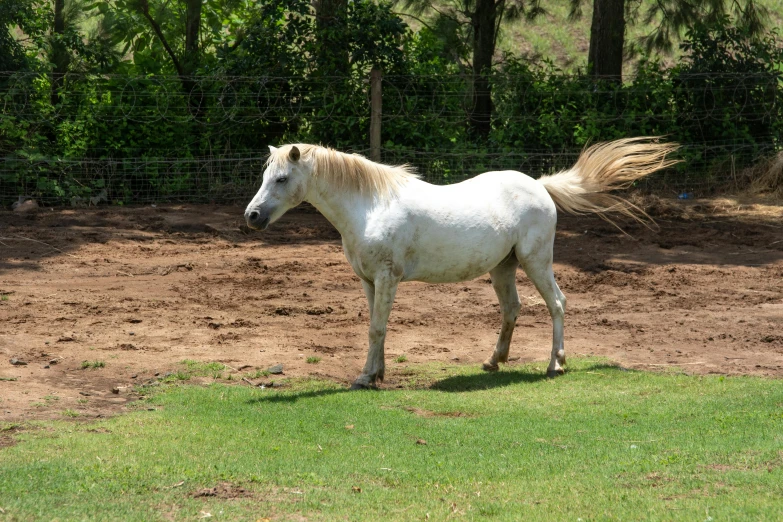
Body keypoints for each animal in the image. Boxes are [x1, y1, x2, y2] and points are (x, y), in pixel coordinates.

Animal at [247, 137, 680, 386]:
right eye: (266, 176)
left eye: (282, 179)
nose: (252, 217)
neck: (370, 206)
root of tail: (539, 186)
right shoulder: (370, 282)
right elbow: (376, 328)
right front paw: (377, 372)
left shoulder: (387, 278)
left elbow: (375, 329)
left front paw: (365, 377)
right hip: (503, 268)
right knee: (512, 308)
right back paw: (493, 362)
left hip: (536, 261)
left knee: (557, 304)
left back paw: (554, 365)